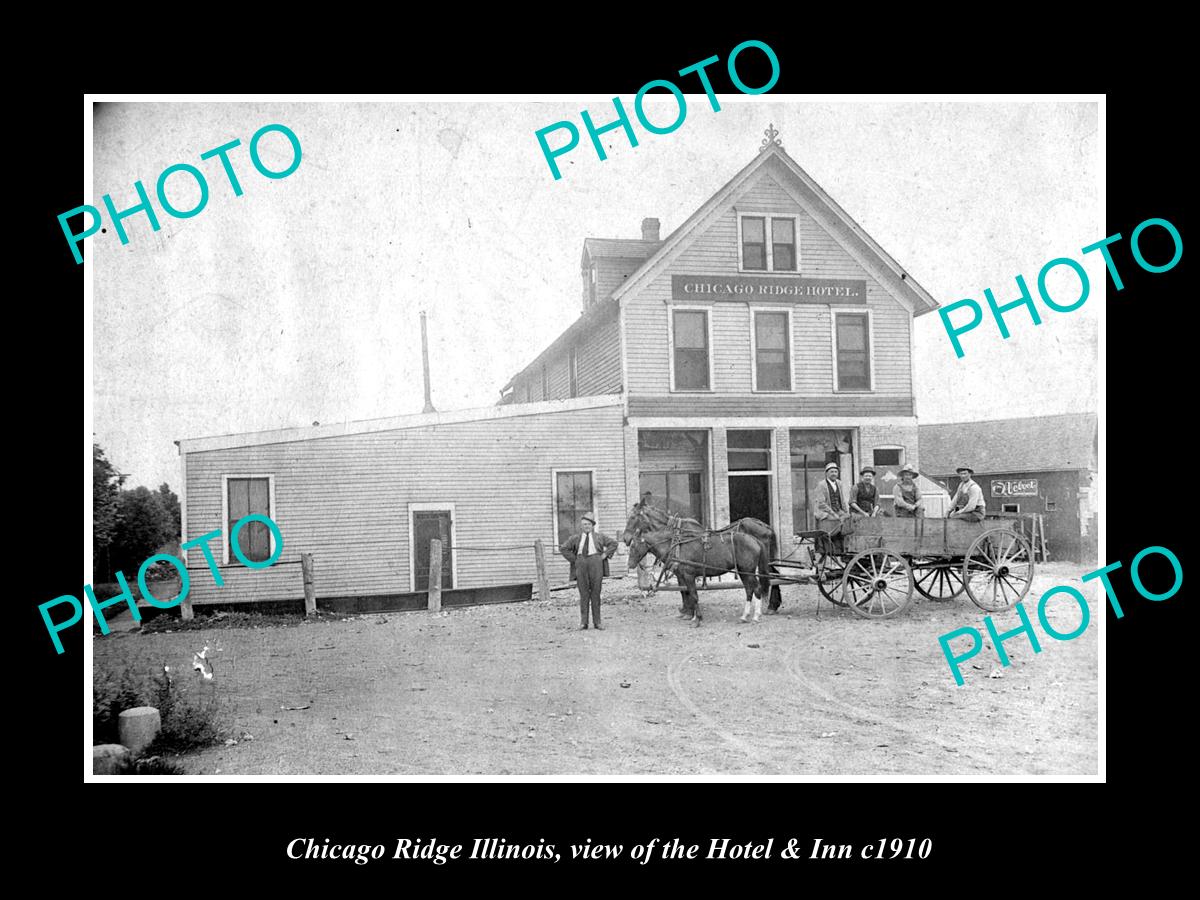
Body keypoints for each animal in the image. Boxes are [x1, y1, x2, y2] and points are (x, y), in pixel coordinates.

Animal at [628, 501, 787, 614]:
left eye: (632, 517)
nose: (625, 539)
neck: (675, 536)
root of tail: (765, 526)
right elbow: (684, 589)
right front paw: (687, 610)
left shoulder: (682, 571)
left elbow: (684, 590)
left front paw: (687, 610)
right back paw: (773, 605)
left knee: (771, 578)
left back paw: (770, 606)